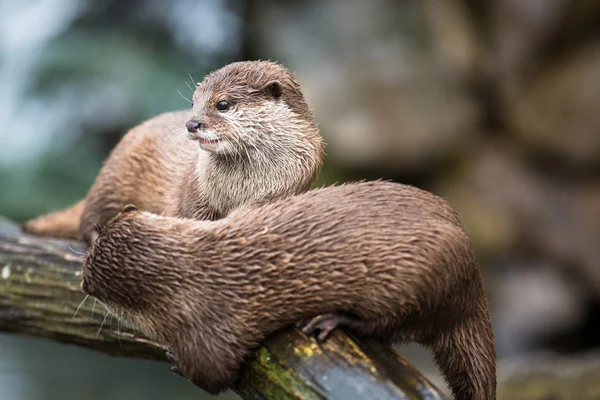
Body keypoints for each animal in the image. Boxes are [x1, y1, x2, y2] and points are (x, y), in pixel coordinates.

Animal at [22, 61, 324, 244]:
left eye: (223, 104)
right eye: (193, 102)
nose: (192, 123)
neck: (240, 189)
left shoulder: (284, 189)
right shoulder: (194, 195)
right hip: (113, 176)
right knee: (89, 217)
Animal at [83, 181, 496, 400]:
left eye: (90, 281)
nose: (83, 283)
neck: (192, 270)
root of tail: (473, 273)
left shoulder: (212, 329)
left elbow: (213, 375)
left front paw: (174, 359)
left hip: (422, 275)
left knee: (397, 324)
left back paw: (331, 320)